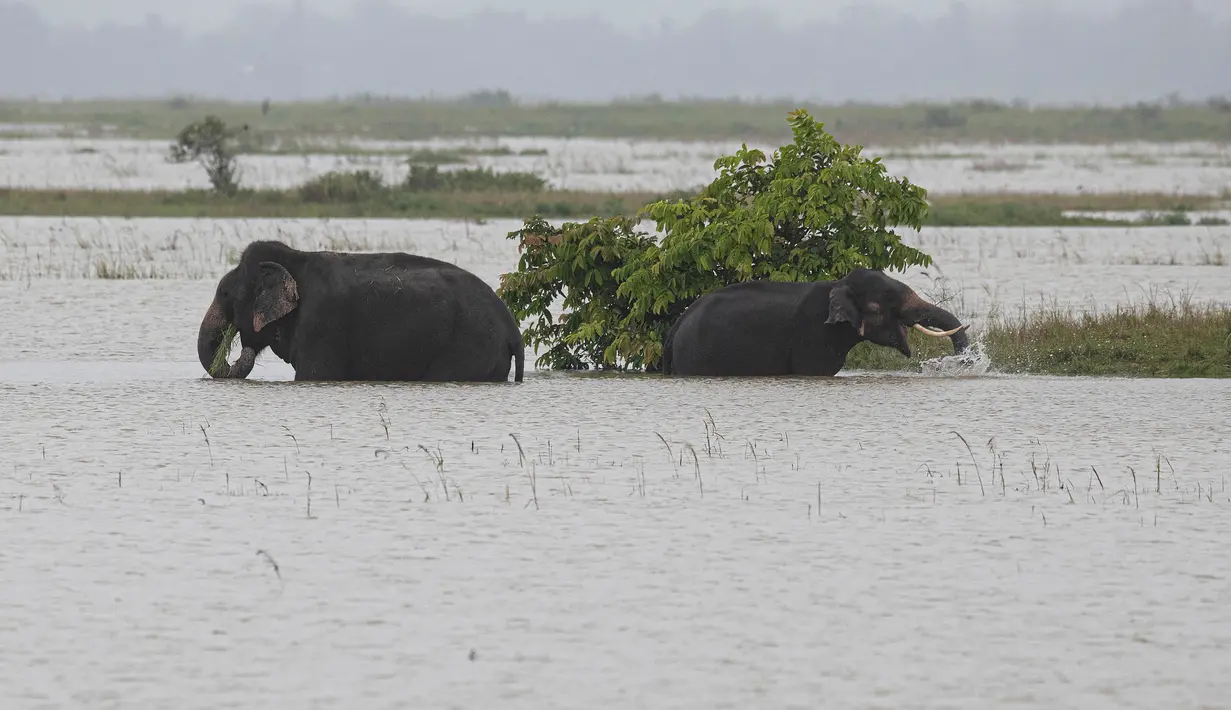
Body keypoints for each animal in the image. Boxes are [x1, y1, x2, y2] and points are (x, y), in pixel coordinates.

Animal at [196, 239, 524, 381]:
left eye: (225, 293)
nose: (242, 351)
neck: (294, 259)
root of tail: (512, 328)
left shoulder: (321, 326)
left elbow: (314, 375)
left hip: (470, 348)